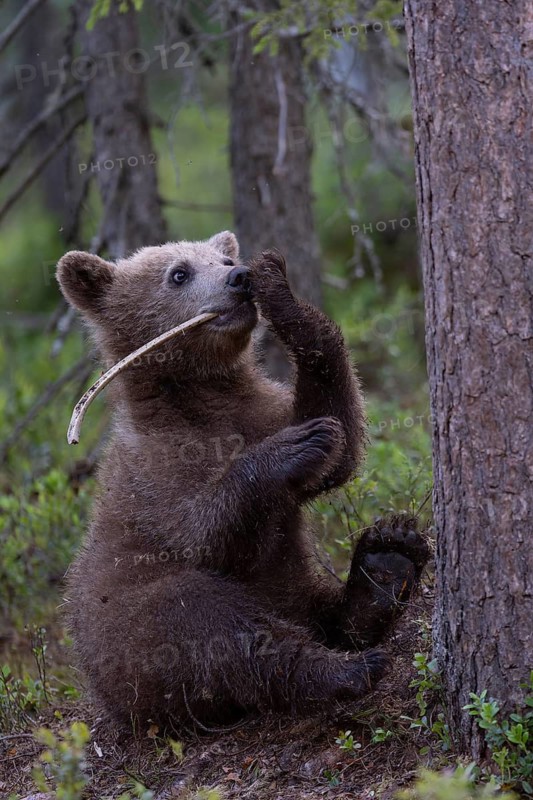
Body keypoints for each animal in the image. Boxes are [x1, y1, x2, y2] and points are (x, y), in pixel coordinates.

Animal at [56, 230, 429, 731]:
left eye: (223, 257)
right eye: (179, 273)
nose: (239, 278)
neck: (203, 395)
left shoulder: (260, 407)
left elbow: (339, 439)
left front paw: (280, 291)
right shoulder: (156, 468)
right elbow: (204, 533)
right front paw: (293, 446)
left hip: (293, 588)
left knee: (317, 613)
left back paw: (387, 561)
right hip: (132, 637)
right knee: (218, 628)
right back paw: (346, 668)